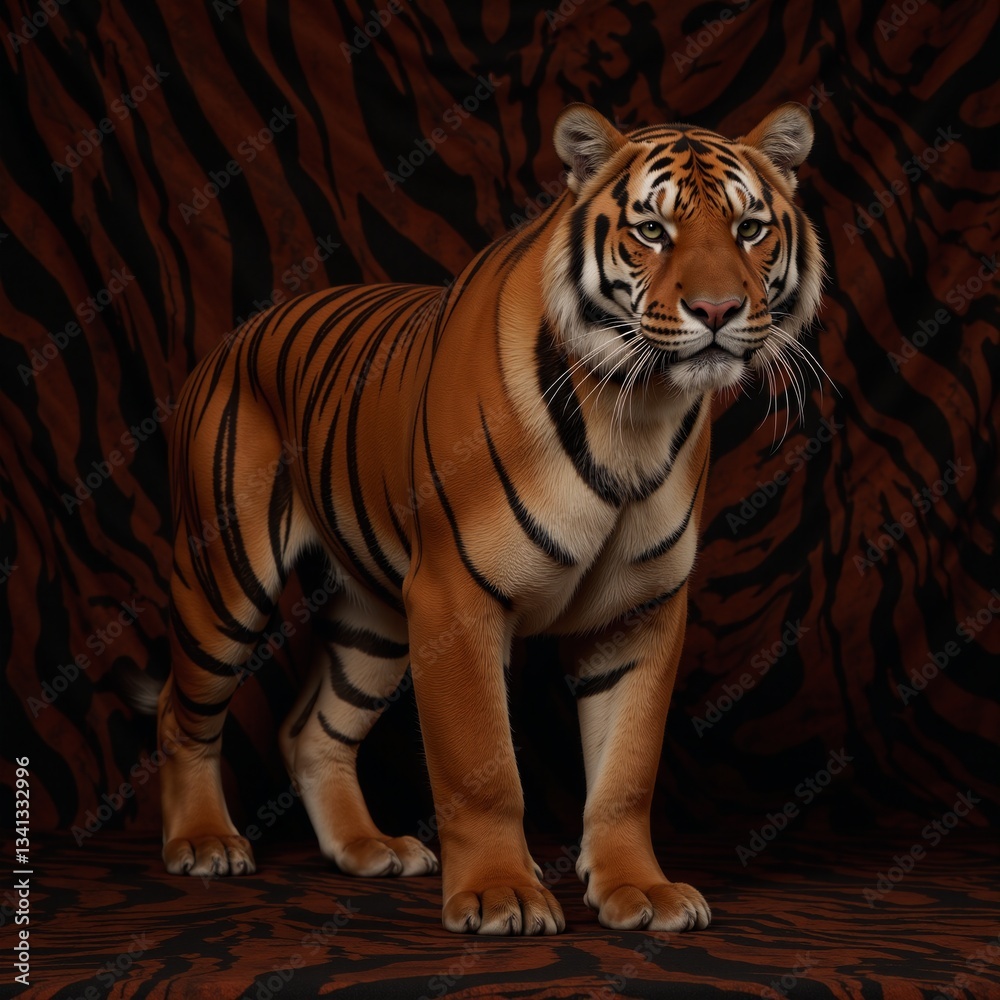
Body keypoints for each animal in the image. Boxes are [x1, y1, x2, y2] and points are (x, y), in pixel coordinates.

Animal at [156, 101, 823, 936]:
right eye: (652, 231)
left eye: (749, 228)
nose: (717, 310)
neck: (633, 413)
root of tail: (236, 333)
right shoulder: (454, 597)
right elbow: (483, 766)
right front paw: (500, 893)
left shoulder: (641, 611)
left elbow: (627, 770)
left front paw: (641, 890)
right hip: (226, 580)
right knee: (180, 710)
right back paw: (203, 841)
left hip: (374, 619)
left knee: (311, 730)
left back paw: (368, 848)